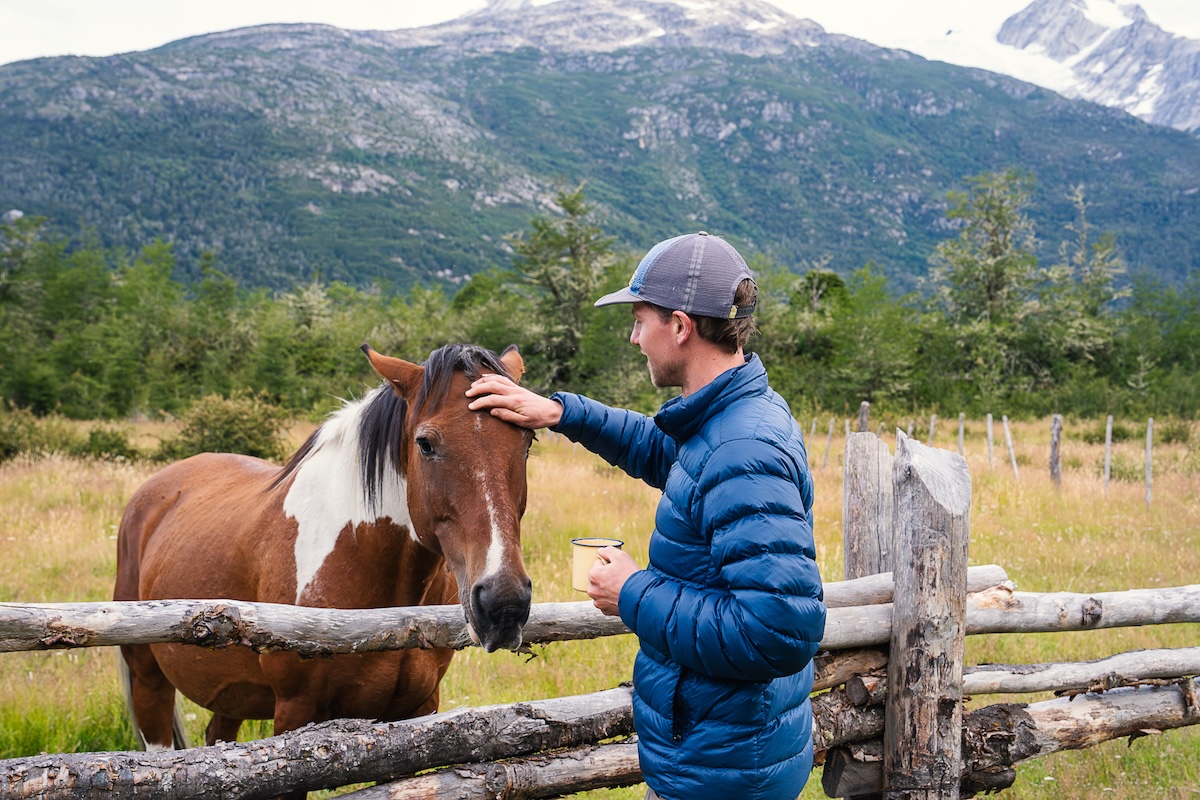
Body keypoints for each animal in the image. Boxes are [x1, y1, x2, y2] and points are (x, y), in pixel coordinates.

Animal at [114, 343, 534, 769]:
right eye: (425, 443)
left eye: (528, 440)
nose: (503, 603)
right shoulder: (295, 713)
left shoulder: (417, 711)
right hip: (148, 680)